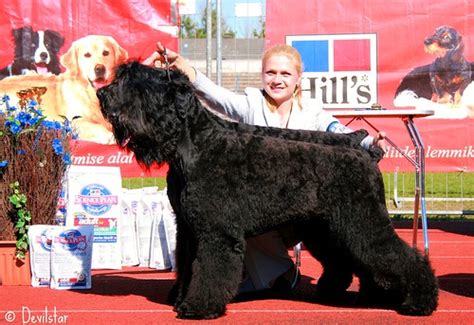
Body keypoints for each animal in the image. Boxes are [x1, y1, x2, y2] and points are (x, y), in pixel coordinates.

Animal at [97, 61, 440, 318]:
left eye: (136, 84)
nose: (101, 92)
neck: (196, 143)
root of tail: (365, 151)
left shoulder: (216, 232)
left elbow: (207, 269)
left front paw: (198, 307)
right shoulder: (189, 228)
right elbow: (187, 266)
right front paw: (181, 299)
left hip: (362, 222)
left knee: (403, 257)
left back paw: (420, 302)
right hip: (330, 228)